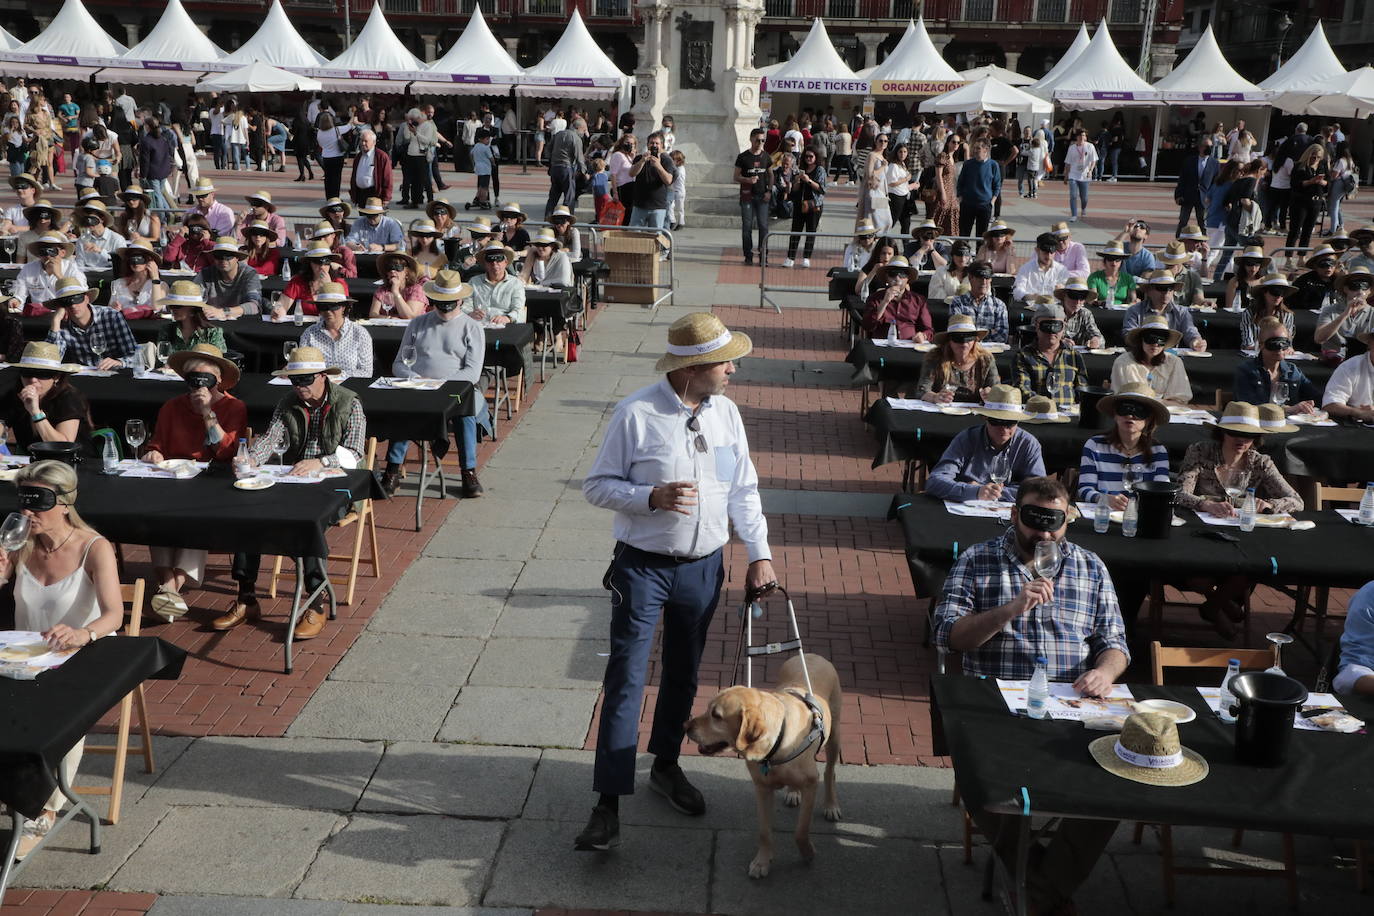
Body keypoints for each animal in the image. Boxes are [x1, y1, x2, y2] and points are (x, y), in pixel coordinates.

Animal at [684, 656, 840, 878]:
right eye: (707, 709)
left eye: (716, 715)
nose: (685, 726)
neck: (778, 743)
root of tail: (812, 655)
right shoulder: (762, 788)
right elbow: (765, 831)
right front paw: (762, 862)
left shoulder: (811, 784)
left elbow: (801, 830)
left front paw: (808, 853)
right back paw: (793, 792)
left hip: (835, 734)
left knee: (830, 772)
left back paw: (831, 805)